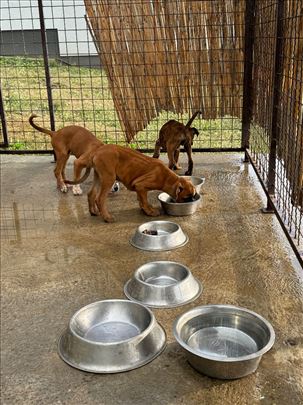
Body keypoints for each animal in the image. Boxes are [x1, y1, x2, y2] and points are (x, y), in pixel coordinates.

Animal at [65, 144, 196, 223]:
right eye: (187, 197)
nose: (192, 200)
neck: (166, 177)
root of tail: (97, 151)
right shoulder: (141, 185)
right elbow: (144, 200)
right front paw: (150, 212)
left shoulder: (139, 187)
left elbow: (141, 199)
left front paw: (145, 209)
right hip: (109, 178)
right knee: (100, 198)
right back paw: (107, 217)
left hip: (99, 176)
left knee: (91, 193)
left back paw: (94, 212)